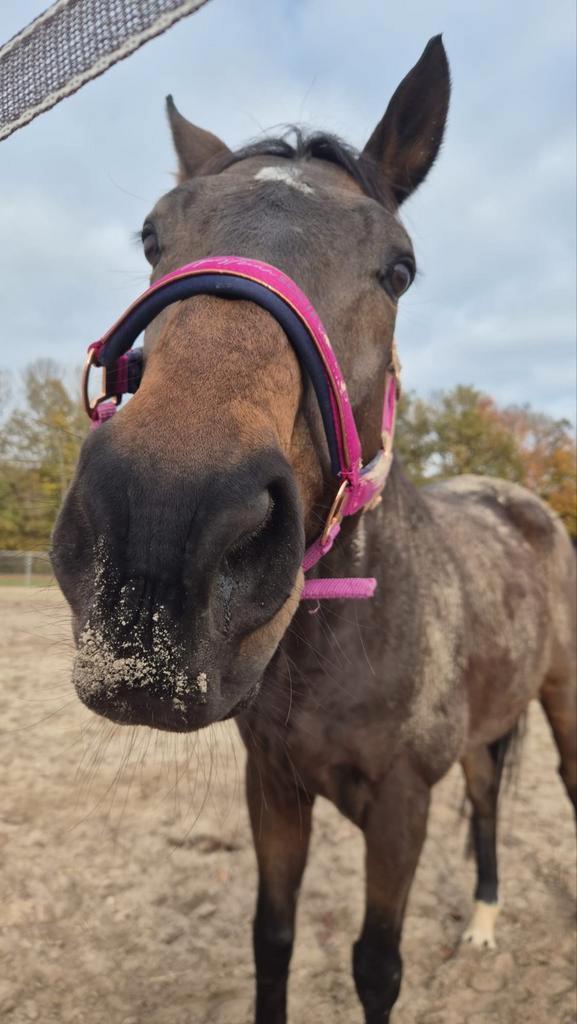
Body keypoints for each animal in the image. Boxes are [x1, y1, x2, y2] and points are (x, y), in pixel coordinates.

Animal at [51, 36, 576, 1024]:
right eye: (153, 235)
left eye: (398, 267)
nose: (159, 527)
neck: (350, 637)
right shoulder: (273, 785)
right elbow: (273, 939)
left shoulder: (400, 806)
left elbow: (375, 965)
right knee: (489, 801)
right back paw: (484, 922)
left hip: (560, 699)